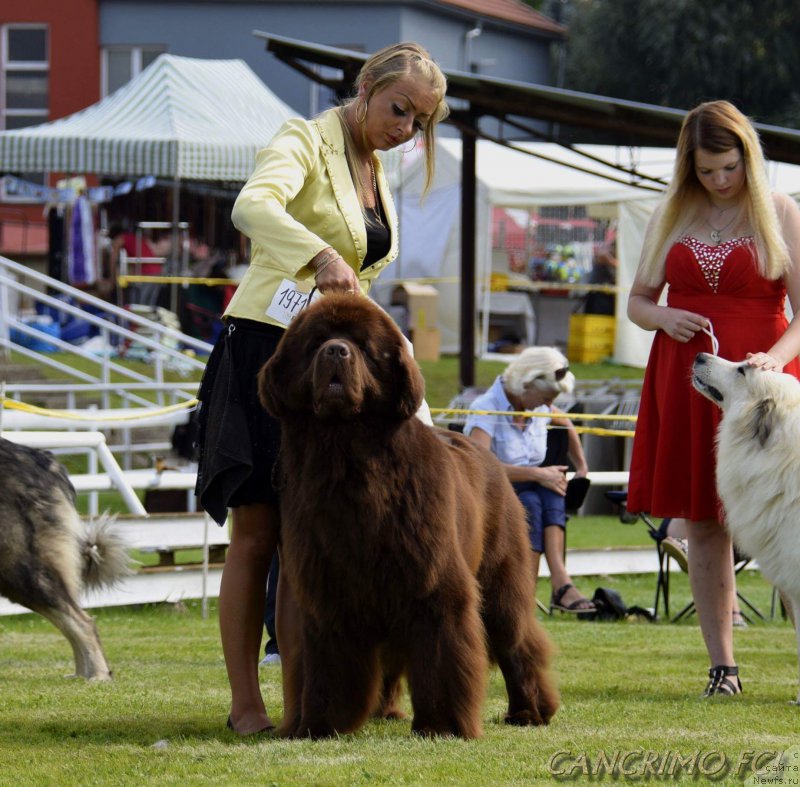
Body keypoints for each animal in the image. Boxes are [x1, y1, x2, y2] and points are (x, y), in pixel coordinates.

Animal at [260, 294, 560, 740]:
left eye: (363, 346)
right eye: (315, 345)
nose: (336, 351)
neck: (346, 454)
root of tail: (488, 456)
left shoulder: (433, 585)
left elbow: (442, 655)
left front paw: (442, 725)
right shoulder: (326, 588)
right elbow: (328, 664)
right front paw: (322, 723)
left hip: (501, 578)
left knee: (517, 641)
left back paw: (530, 711)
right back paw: (385, 710)